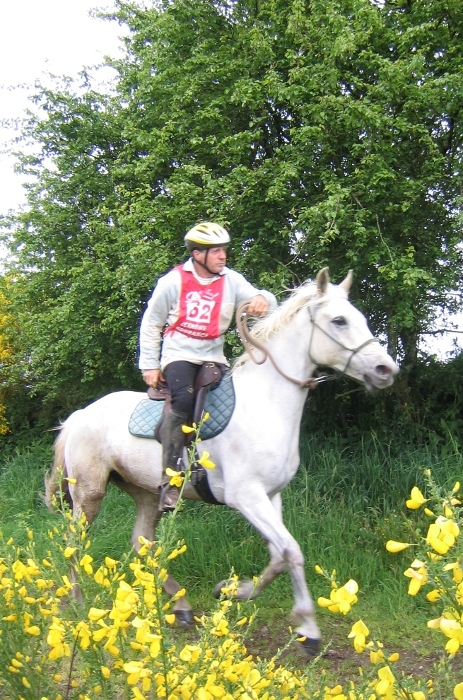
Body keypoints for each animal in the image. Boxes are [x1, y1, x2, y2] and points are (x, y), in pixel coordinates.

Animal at [44, 268, 398, 655]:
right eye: (339, 321)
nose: (386, 370)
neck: (267, 402)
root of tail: (79, 416)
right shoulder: (246, 498)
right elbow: (292, 551)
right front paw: (308, 629)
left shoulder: (270, 496)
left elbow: (279, 556)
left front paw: (232, 591)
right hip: (89, 494)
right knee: (74, 543)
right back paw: (79, 604)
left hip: (147, 493)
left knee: (142, 543)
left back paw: (180, 605)